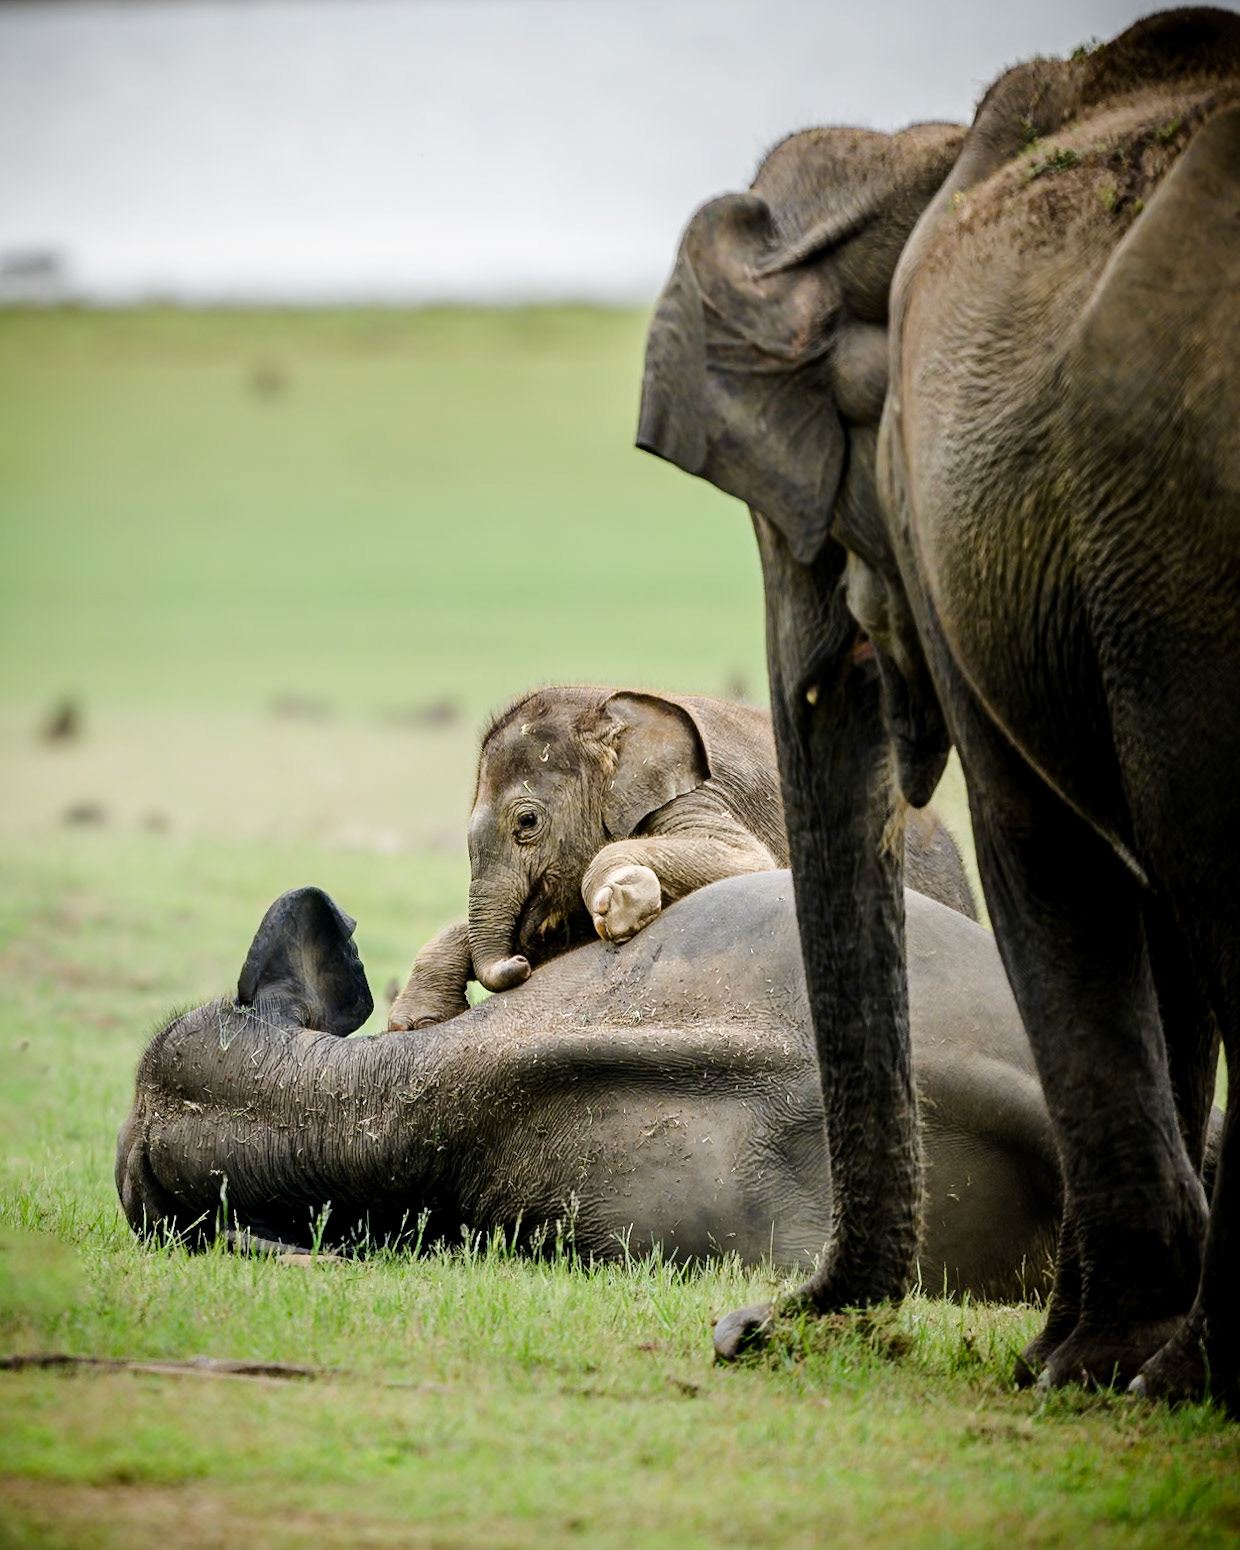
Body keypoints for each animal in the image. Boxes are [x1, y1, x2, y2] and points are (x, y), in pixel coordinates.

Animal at [388, 684, 976, 1031]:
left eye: (527, 823)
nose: (518, 964)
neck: (605, 705)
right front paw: (413, 1023)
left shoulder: (703, 792)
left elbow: (748, 862)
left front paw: (622, 901)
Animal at [637, 8, 1240, 1403]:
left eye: (790, 515)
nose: (741, 1325)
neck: (913, 151)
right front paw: (1097, 1357)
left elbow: (1046, 855)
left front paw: (1081, 1367)